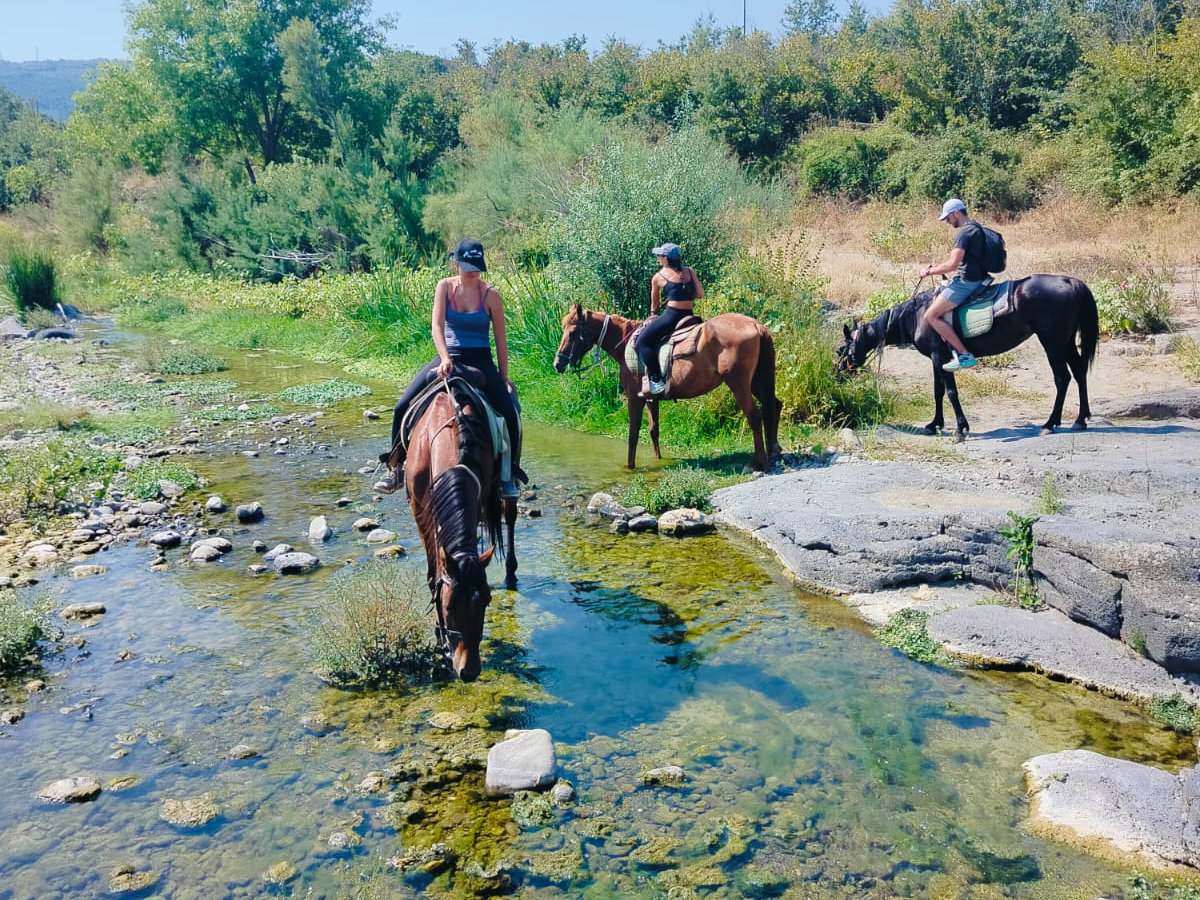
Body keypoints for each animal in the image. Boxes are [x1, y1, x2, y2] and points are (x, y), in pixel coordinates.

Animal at [405, 376, 518, 682]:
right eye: (447, 606)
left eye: (486, 601)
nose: (469, 671)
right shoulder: (420, 509)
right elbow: (434, 569)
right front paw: (439, 640)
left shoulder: (476, 498)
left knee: (511, 516)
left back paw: (512, 572)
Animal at [553, 303, 782, 471]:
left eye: (572, 333)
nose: (558, 363)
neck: (625, 343)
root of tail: (755, 325)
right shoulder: (650, 398)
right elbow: (654, 430)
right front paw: (658, 459)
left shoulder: (634, 398)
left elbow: (633, 434)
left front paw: (630, 466)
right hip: (757, 381)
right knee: (773, 406)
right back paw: (773, 451)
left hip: (739, 384)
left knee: (754, 416)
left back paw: (758, 462)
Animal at [836, 274, 1099, 441]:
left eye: (840, 349)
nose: (837, 372)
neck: (917, 316)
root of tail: (1071, 282)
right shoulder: (936, 359)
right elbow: (938, 392)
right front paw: (934, 424)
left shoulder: (939, 356)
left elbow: (950, 392)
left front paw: (961, 429)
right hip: (1065, 341)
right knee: (1079, 371)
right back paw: (1080, 419)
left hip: (1052, 342)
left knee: (1062, 378)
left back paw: (1050, 424)